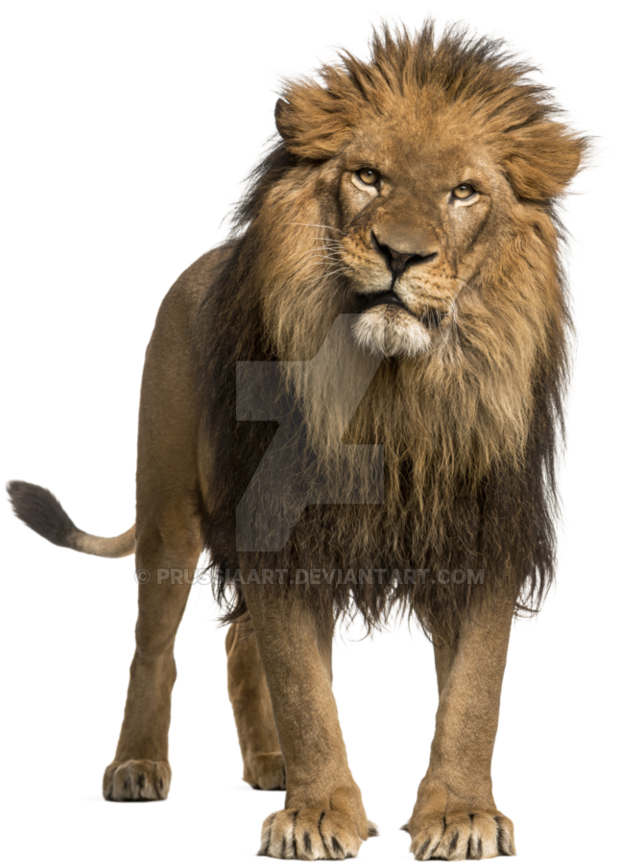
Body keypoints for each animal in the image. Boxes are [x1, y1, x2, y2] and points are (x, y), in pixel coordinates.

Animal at [2, 8, 613, 861]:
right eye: (367, 177)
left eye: (463, 193)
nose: (400, 253)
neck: (391, 396)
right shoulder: (282, 527)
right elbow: (301, 685)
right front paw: (319, 815)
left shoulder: (476, 532)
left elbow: (473, 693)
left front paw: (459, 816)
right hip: (167, 512)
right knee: (153, 643)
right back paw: (136, 769)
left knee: (238, 643)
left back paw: (268, 767)